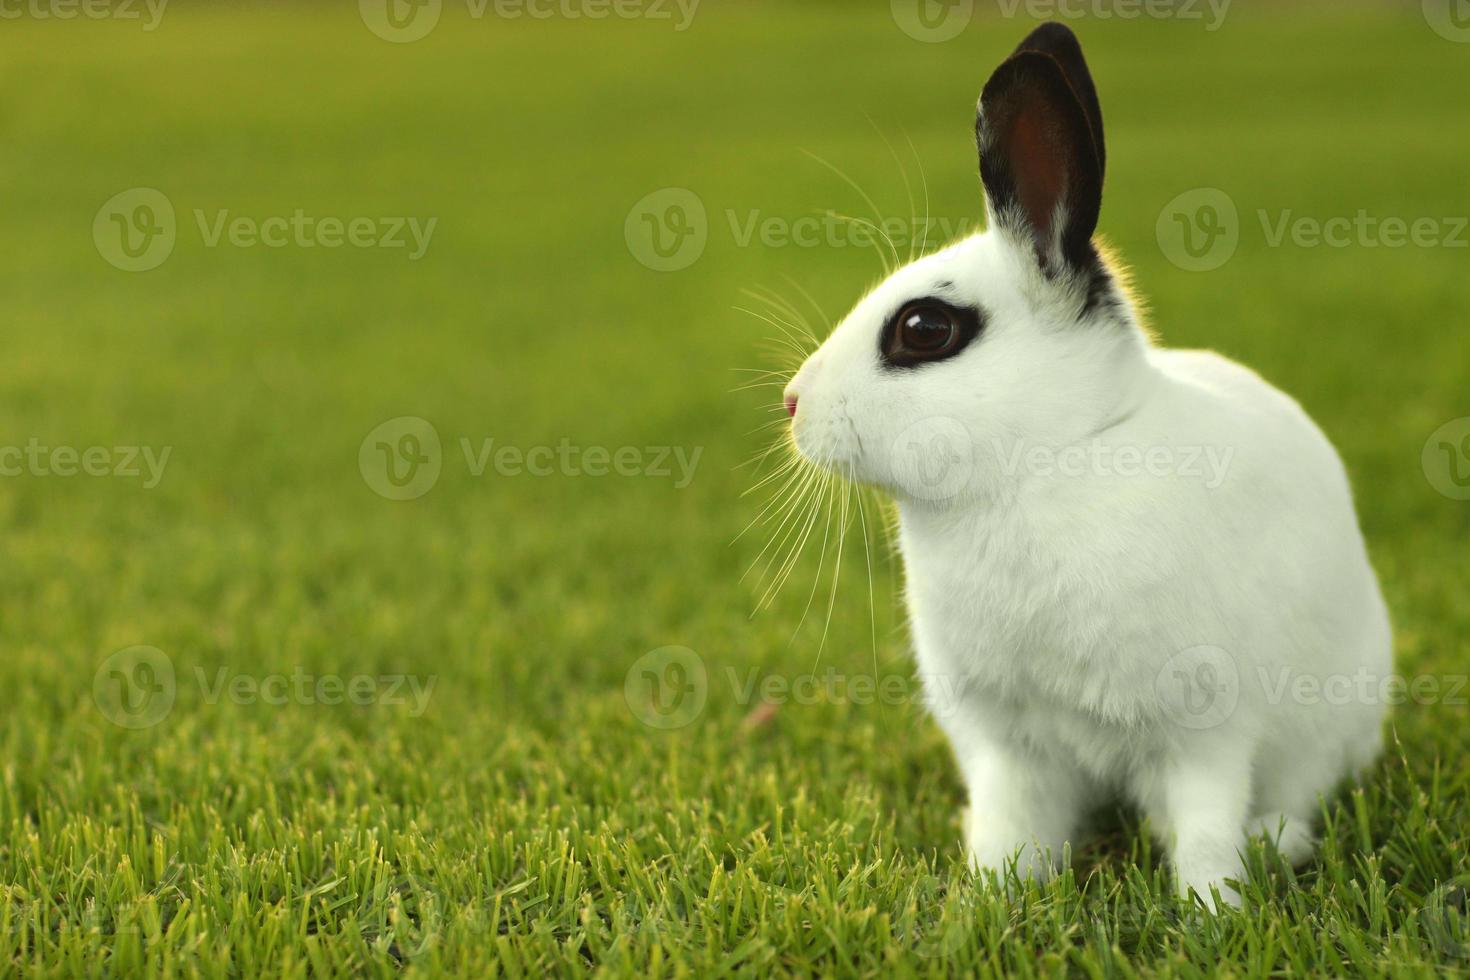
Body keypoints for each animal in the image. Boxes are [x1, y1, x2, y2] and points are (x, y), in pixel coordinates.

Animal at [782, 22, 1387, 910]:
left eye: (924, 328)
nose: (793, 404)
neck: (1048, 462)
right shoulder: (1009, 745)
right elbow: (1012, 829)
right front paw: (989, 900)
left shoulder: (1204, 734)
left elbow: (1206, 828)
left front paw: (1213, 912)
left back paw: (1277, 842)